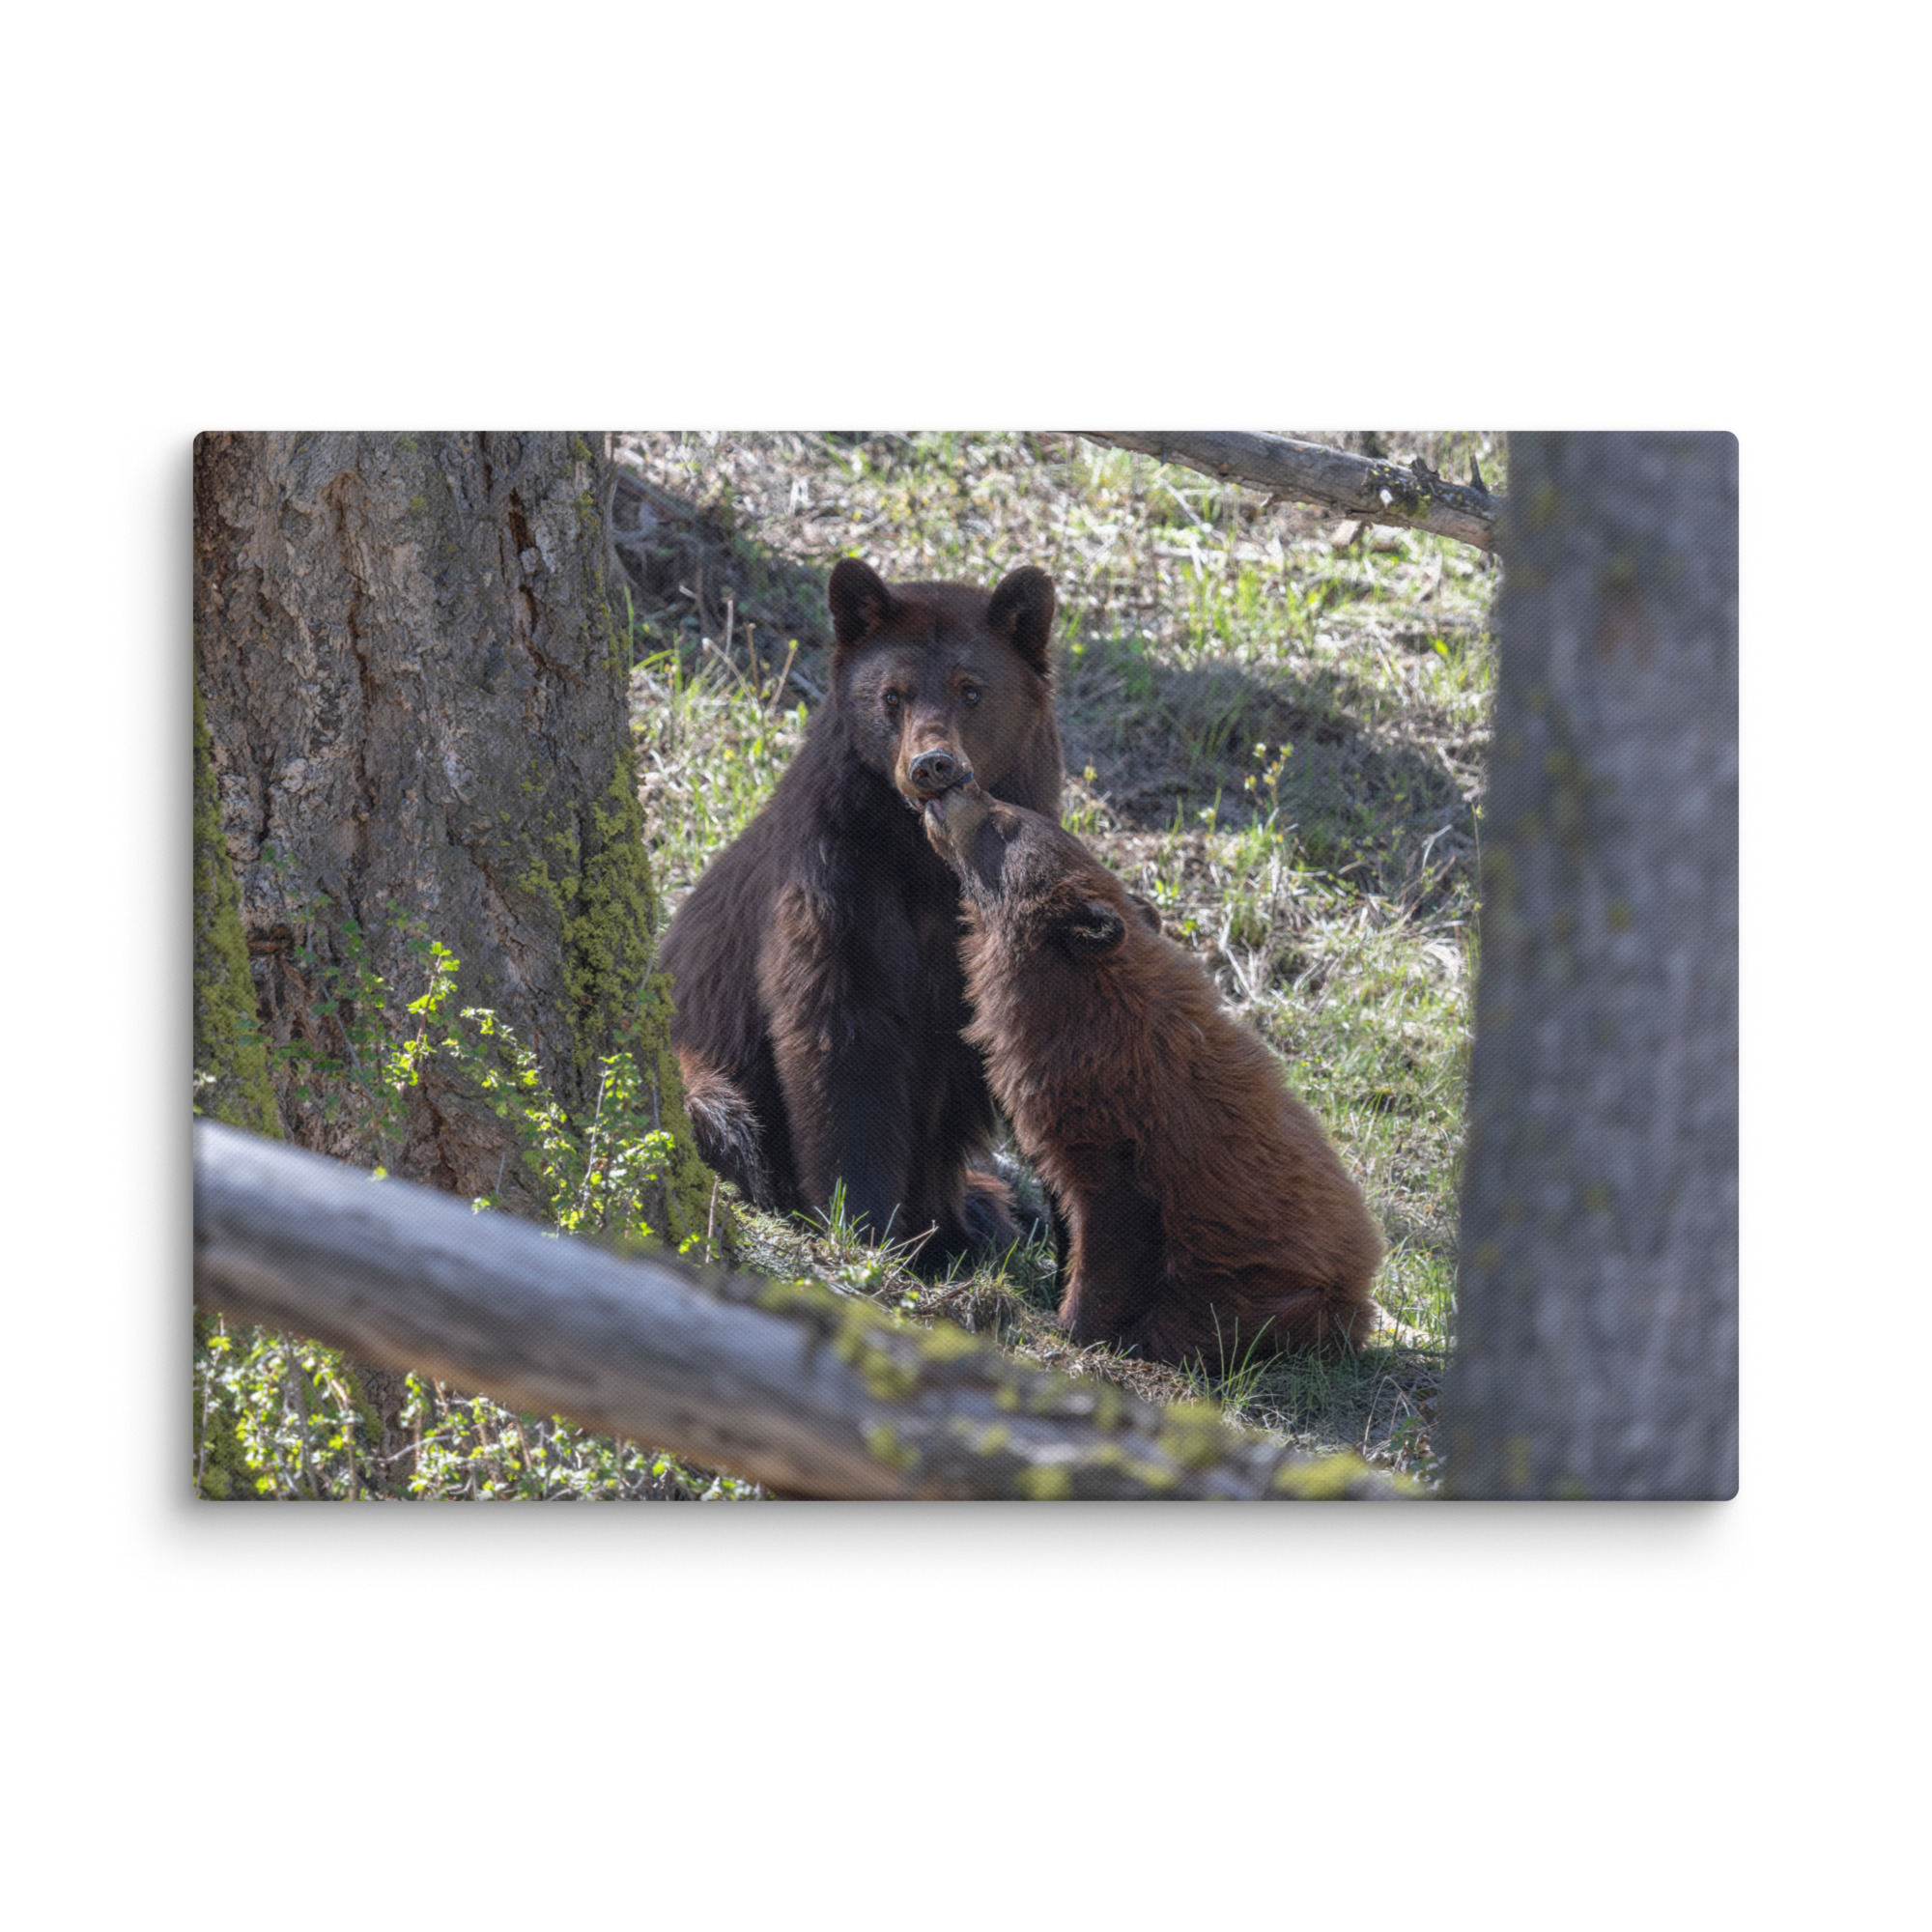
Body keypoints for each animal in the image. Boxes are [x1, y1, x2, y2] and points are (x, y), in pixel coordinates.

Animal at [657, 557, 1064, 1268]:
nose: (933, 765)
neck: (926, 860)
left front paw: (948, 1226)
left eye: (971, 690)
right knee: (722, 1113)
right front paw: (866, 1221)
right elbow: (841, 1034)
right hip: (697, 1067)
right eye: (893, 695)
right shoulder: (835, 878)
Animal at [920, 778, 1383, 1365]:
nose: (962, 782)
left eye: (1003, 821)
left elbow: (1112, 1229)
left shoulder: (1121, 1126)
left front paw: (1074, 1324)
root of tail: (1361, 1295)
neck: (1080, 1005)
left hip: (1273, 1294)